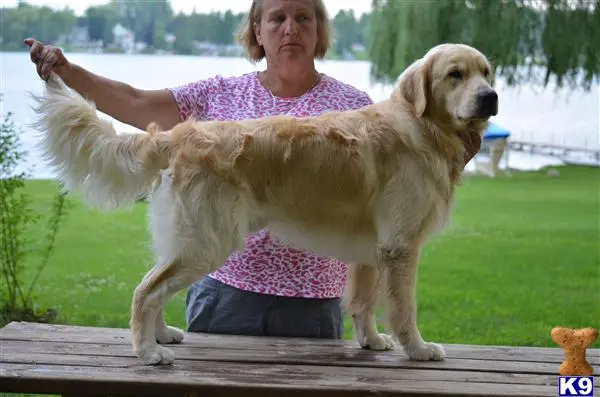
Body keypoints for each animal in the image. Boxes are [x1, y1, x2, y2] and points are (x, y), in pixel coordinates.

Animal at [31, 43, 496, 366]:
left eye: (487, 73)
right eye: (455, 75)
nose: (490, 96)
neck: (421, 127)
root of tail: (178, 134)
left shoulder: (373, 251)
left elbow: (363, 304)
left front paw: (373, 342)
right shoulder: (401, 248)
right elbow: (404, 308)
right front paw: (417, 348)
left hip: (188, 241)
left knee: (154, 285)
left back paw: (161, 336)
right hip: (205, 243)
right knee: (146, 291)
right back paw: (148, 353)